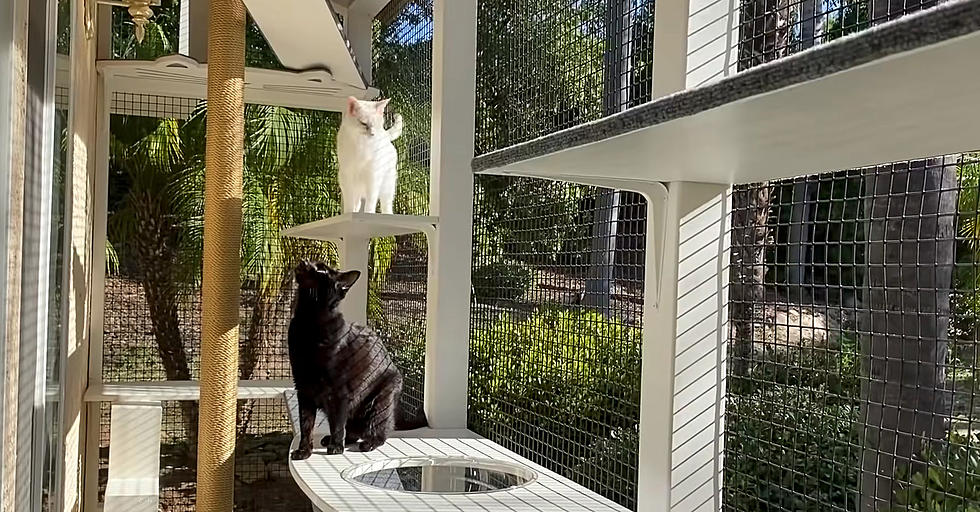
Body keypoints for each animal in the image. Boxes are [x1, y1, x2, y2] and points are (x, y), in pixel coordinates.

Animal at [284, 260, 422, 460]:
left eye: (322, 270)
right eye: (312, 262)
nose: (305, 262)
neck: (307, 321)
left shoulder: (340, 392)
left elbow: (337, 425)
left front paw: (335, 447)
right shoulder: (304, 391)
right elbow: (306, 426)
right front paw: (304, 451)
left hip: (380, 401)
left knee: (380, 429)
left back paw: (368, 442)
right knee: (352, 431)